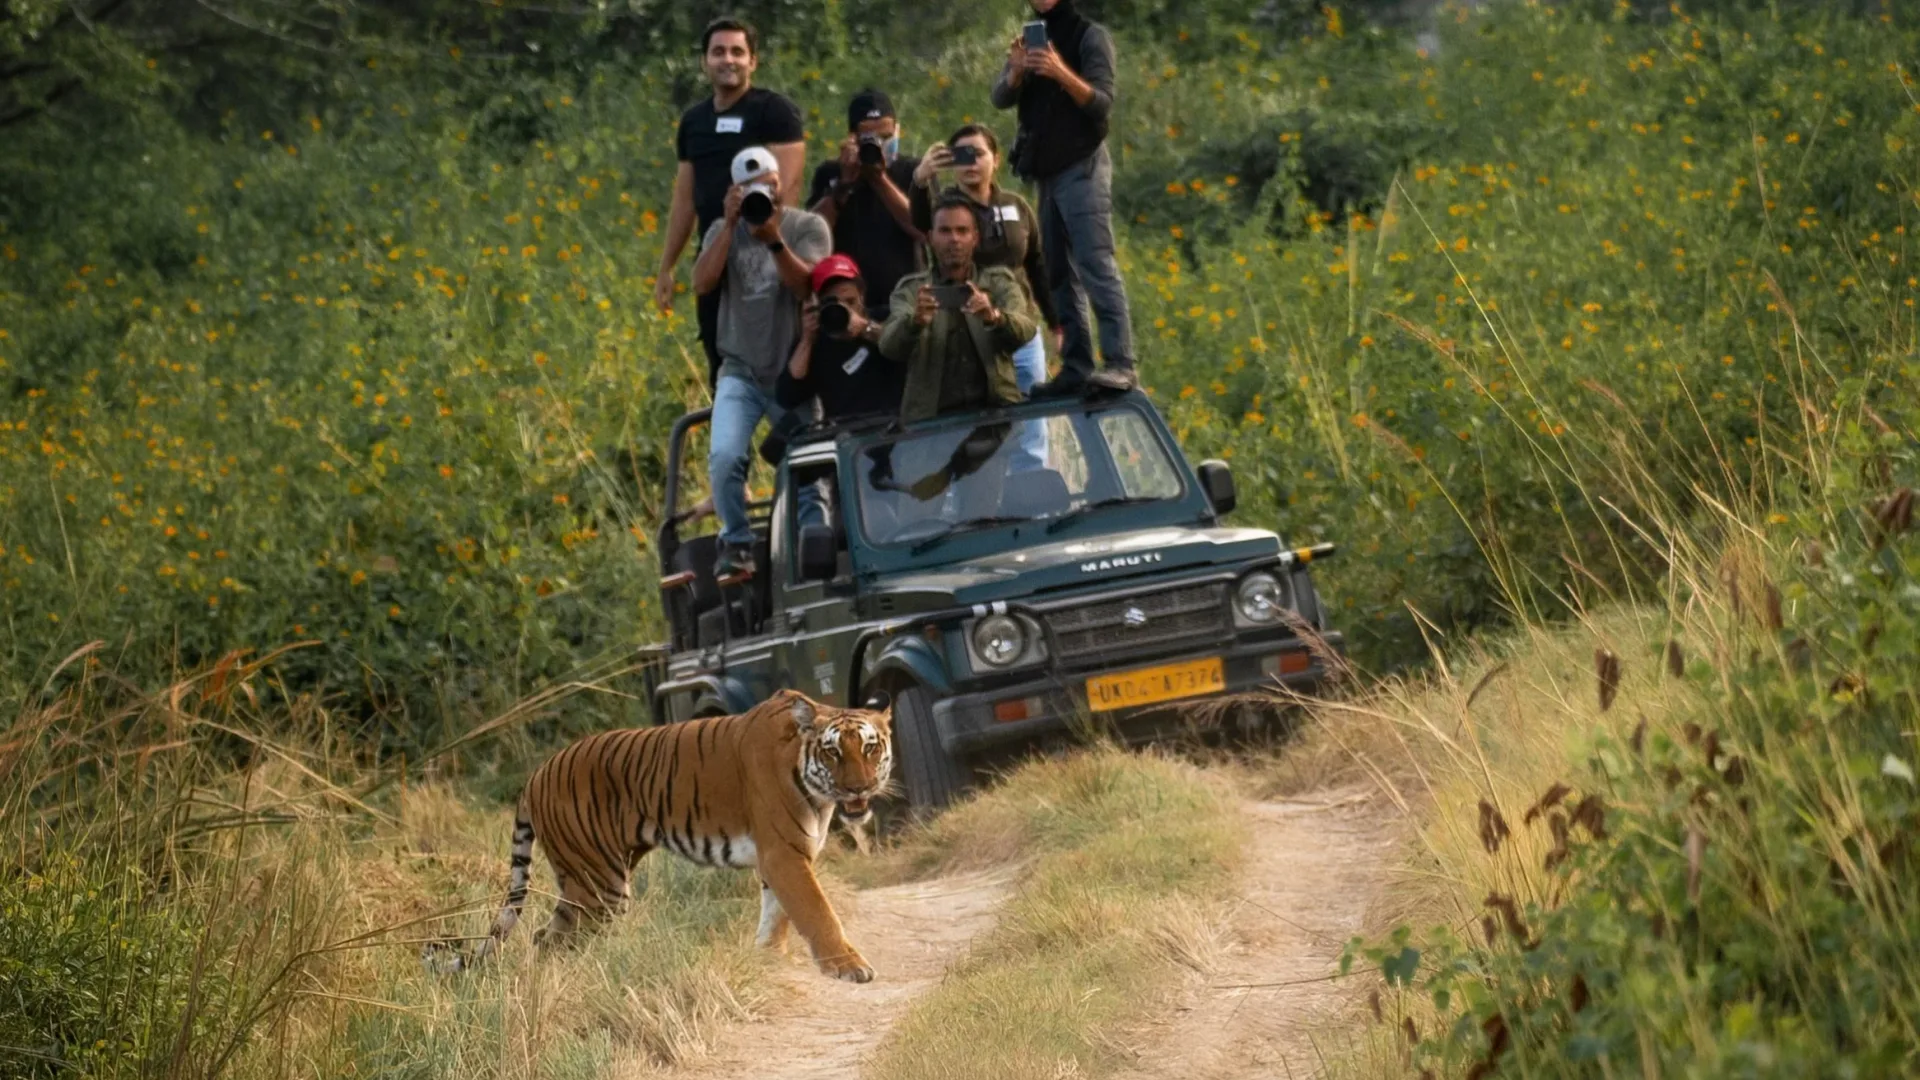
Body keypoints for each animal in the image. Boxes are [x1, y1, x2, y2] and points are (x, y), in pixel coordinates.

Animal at [428, 690, 894, 982]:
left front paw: (768, 960)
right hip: (600, 884)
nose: (859, 789)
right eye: (833, 752)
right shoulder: (784, 853)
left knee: (545, 938)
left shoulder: (781, 857)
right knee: (553, 938)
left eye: (870, 748)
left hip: (589, 880)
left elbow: (776, 915)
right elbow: (817, 912)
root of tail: (535, 774)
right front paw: (848, 967)